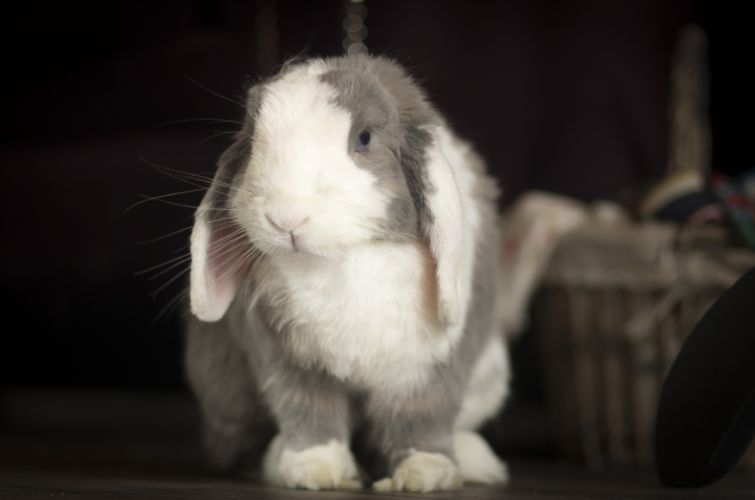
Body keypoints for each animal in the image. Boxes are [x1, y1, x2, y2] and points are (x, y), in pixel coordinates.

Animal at [184, 53, 511, 492]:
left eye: (364, 138)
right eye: (252, 140)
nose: (287, 218)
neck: (340, 260)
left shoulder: (428, 365)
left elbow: (422, 414)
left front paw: (425, 473)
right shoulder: (286, 360)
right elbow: (307, 409)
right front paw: (314, 469)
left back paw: (476, 459)